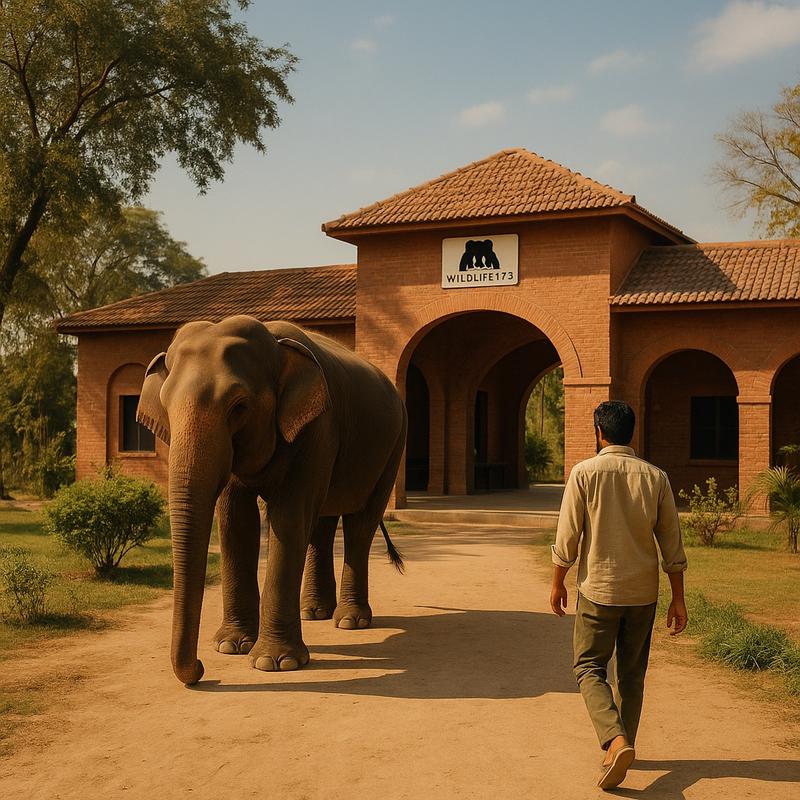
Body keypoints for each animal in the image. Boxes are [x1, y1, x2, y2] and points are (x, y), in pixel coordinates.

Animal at [136, 315, 407, 685]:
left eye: (239, 407)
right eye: (165, 406)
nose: (202, 672)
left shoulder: (319, 426)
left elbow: (289, 518)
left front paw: (275, 662)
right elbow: (236, 520)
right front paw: (231, 646)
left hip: (393, 448)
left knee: (359, 525)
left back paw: (351, 621)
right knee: (320, 525)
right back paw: (314, 613)